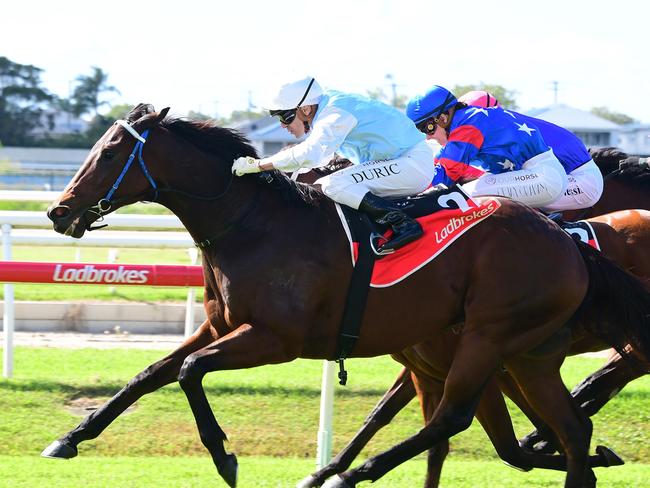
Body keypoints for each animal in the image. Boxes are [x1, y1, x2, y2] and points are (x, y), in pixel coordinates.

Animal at [43, 104, 648, 488]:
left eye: (110, 153)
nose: (58, 211)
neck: (254, 224)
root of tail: (565, 244)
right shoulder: (221, 326)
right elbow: (149, 374)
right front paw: (70, 438)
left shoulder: (276, 338)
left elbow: (190, 372)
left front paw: (225, 457)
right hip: (528, 353)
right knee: (570, 427)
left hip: (490, 338)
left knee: (457, 419)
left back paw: (356, 474)